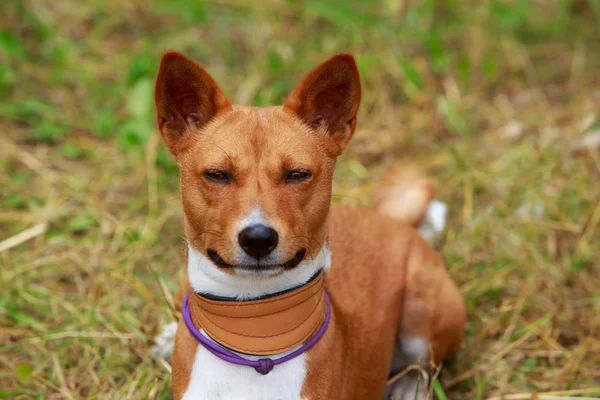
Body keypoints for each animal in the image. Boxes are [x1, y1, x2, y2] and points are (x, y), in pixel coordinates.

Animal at [152, 51, 466, 398]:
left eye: (297, 174)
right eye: (217, 174)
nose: (258, 238)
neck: (254, 343)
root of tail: (393, 220)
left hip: (421, 315)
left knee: (425, 363)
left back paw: (408, 386)